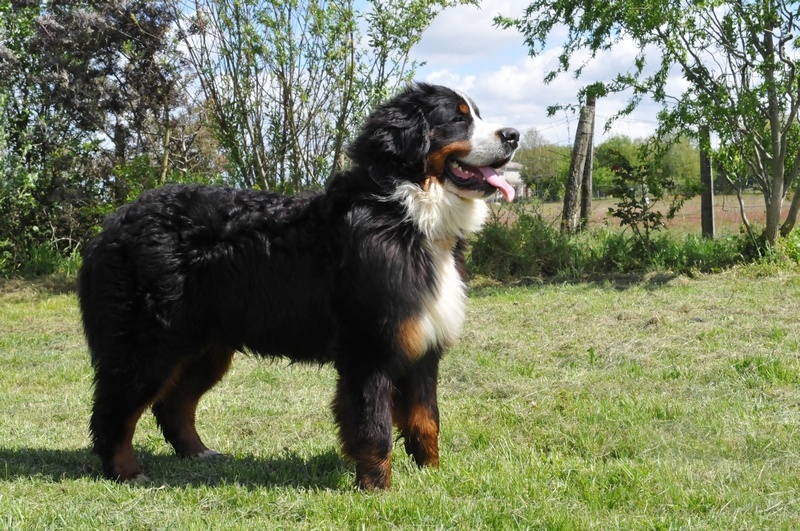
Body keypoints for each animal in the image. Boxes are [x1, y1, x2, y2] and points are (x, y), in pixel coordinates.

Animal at [79, 83, 520, 490]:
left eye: (476, 114)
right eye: (458, 119)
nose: (513, 135)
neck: (404, 211)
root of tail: (115, 221)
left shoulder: (424, 347)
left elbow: (426, 421)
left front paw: (433, 476)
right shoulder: (370, 349)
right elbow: (373, 426)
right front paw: (377, 489)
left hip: (205, 346)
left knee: (173, 406)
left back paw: (199, 453)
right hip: (148, 344)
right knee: (114, 411)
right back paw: (126, 471)